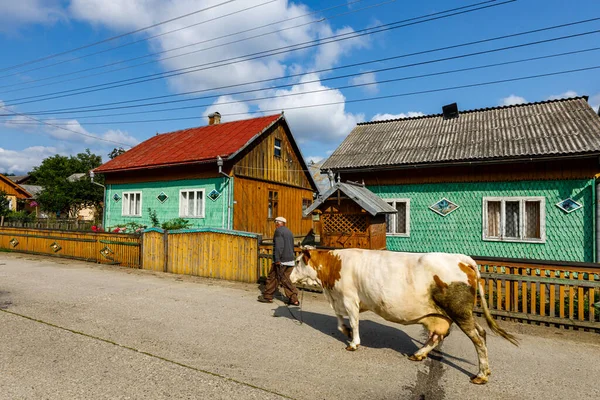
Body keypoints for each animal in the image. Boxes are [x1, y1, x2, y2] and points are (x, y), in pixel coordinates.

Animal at [290, 248, 516, 382]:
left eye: (297, 261)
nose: (290, 276)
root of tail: (461, 258)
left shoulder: (349, 298)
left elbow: (354, 322)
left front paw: (353, 342)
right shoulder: (339, 298)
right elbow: (339, 321)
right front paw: (344, 331)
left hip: (459, 311)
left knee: (478, 339)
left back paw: (481, 374)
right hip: (449, 314)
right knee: (450, 335)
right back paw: (419, 354)